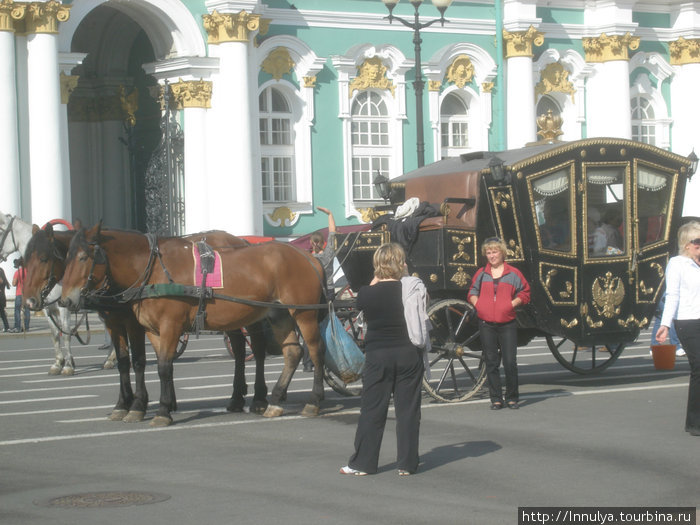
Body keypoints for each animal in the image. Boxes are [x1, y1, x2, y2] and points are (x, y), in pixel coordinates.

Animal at [0, 211, 115, 374]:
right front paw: (58, 363)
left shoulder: (63, 307)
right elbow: (55, 334)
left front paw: (68, 365)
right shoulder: (48, 308)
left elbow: (66, 333)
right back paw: (110, 359)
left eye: (0, 231)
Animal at [60, 224, 326, 426]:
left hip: (304, 314)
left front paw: (160, 410)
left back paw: (313, 400)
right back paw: (274, 400)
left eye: (83, 257)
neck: (154, 271)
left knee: (314, 351)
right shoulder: (152, 330)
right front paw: (156, 405)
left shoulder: (168, 326)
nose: (65, 300)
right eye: (66, 258)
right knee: (292, 352)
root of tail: (309, 256)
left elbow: (162, 367)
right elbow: (160, 365)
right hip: (278, 315)